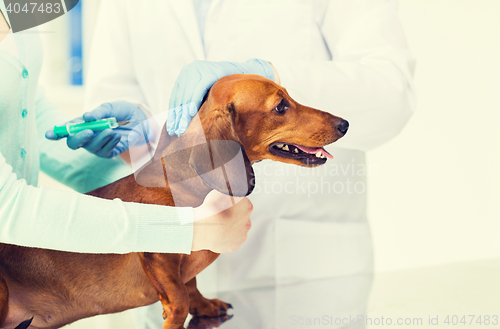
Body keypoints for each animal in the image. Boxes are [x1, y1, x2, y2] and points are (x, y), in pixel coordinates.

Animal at [0, 74, 348, 328]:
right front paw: (175, 317)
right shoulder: (158, 255)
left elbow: (190, 285)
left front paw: (206, 305)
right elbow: (179, 299)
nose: (344, 124)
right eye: (280, 106)